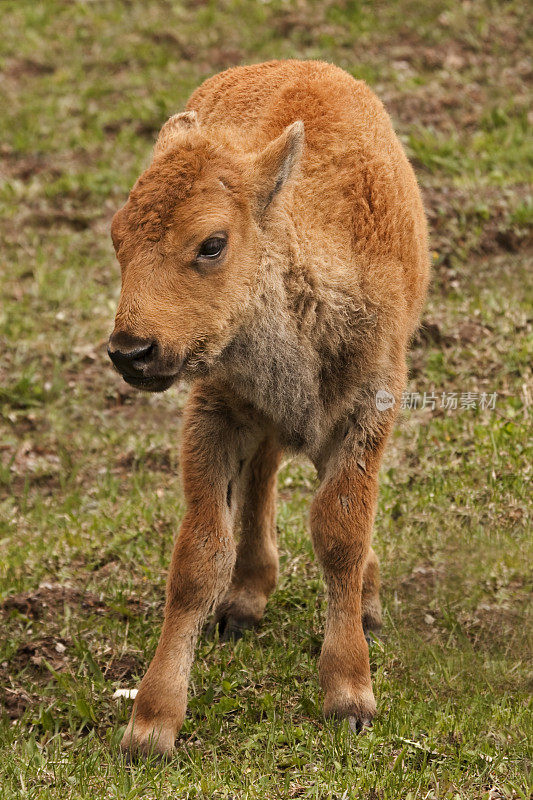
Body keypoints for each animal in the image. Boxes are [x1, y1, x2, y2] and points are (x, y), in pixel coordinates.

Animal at [107, 59, 428, 752]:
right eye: (118, 238)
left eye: (211, 243)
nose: (131, 350)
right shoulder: (217, 412)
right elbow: (199, 555)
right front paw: (151, 725)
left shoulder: (367, 414)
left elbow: (339, 531)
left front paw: (350, 696)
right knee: (262, 475)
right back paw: (246, 599)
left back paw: (363, 597)